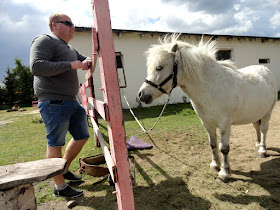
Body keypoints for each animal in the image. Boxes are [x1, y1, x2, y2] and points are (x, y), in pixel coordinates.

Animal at [138, 34, 278, 182]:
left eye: (159, 67)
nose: (141, 95)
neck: (212, 87)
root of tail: (265, 69)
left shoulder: (225, 125)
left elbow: (224, 148)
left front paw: (224, 173)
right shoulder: (207, 124)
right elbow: (213, 144)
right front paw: (215, 165)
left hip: (268, 112)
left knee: (263, 129)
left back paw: (262, 150)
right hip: (256, 113)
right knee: (257, 127)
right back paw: (257, 145)